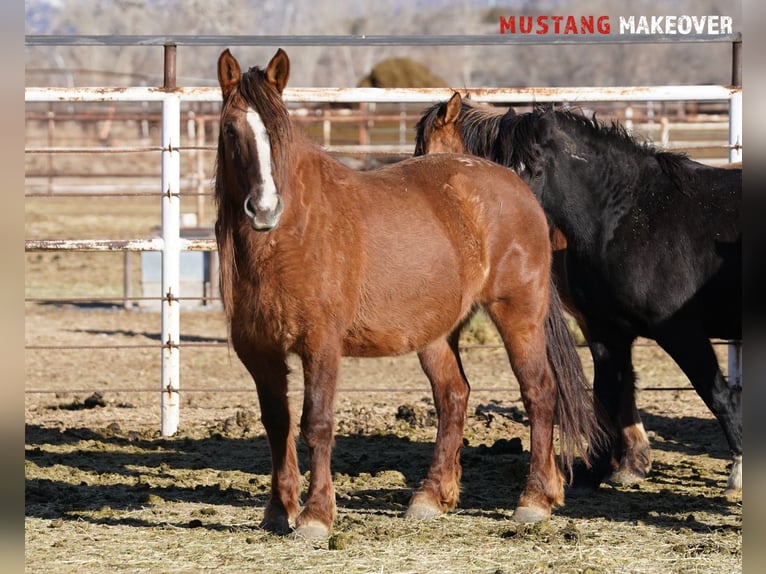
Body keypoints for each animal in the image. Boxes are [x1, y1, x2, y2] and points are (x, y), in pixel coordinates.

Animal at [216, 49, 608, 540]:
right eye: (231, 130)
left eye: (279, 131)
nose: (265, 209)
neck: (289, 238)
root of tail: (516, 188)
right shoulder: (259, 350)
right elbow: (277, 424)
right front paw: (277, 510)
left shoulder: (321, 345)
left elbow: (317, 423)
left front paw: (315, 516)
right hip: (436, 333)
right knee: (453, 395)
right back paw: (431, 496)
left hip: (518, 314)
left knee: (538, 391)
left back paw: (534, 500)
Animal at [416, 94, 748, 500]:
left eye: (533, 169)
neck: (636, 215)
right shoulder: (608, 332)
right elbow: (608, 395)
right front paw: (601, 470)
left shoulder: (681, 331)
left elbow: (716, 394)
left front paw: (739, 471)